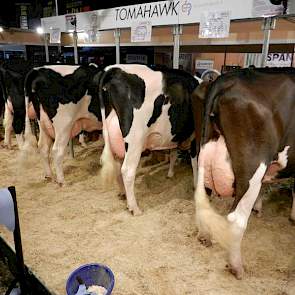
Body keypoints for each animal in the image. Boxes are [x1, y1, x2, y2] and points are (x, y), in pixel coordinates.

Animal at [97, 64, 201, 215]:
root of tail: (115, 69)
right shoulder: (195, 137)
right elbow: (195, 163)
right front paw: (196, 185)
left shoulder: (174, 137)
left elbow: (173, 154)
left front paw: (170, 174)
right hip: (135, 140)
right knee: (127, 170)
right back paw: (134, 208)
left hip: (115, 138)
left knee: (117, 166)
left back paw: (123, 195)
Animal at [194, 67, 295, 280]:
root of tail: (225, 79)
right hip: (253, 165)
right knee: (236, 219)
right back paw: (237, 267)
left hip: (203, 154)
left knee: (201, 197)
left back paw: (205, 236)